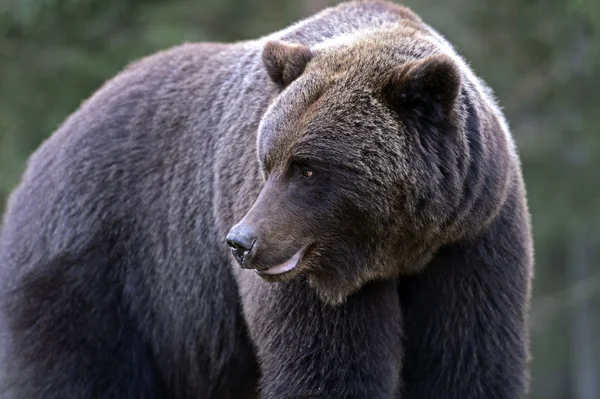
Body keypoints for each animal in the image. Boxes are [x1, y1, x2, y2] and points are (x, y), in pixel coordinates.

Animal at [0, 1, 536, 398]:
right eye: (267, 160)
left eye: (308, 166)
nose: (241, 242)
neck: (396, 250)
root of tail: (44, 154)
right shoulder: (307, 278)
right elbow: (326, 366)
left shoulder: (473, 237)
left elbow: (468, 357)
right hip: (96, 276)